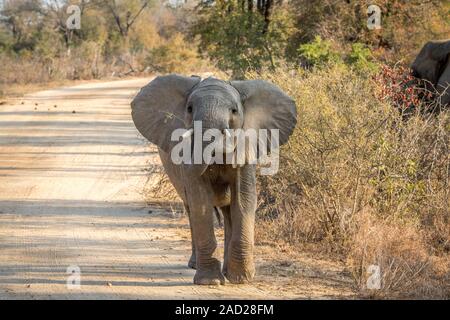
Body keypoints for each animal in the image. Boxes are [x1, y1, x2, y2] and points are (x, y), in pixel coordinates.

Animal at [130, 75, 298, 284]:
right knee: (191, 208)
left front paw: (241, 280)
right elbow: (201, 202)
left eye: (234, 111)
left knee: (228, 211)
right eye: (189, 109)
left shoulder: (247, 146)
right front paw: (210, 282)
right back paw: (196, 265)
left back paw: (227, 272)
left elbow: (243, 199)